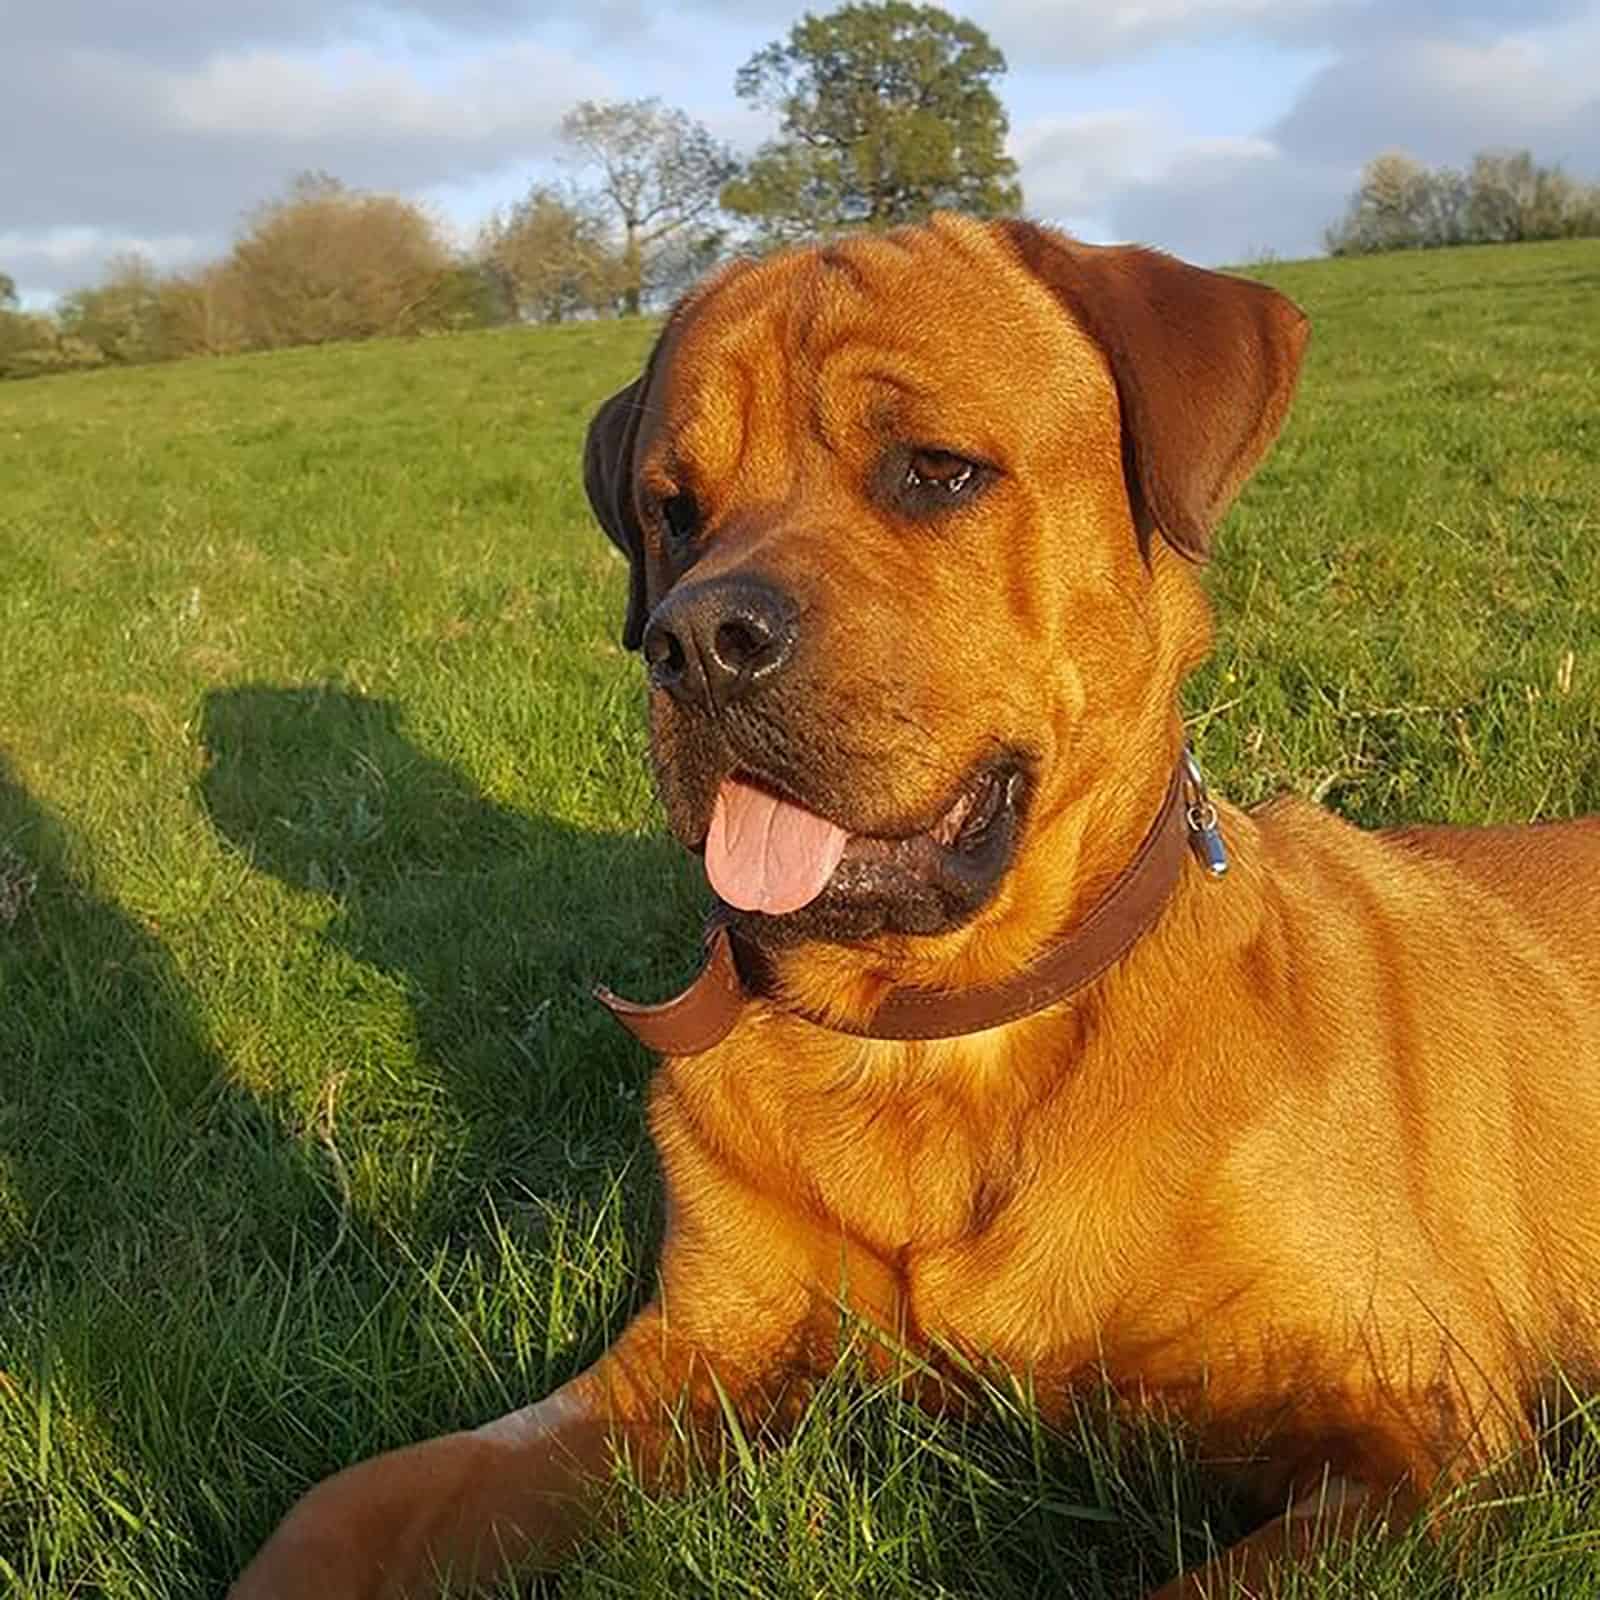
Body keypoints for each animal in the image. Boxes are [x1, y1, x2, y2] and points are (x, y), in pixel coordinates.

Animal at [232, 216, 1600, 1600]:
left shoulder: (1422, 1436)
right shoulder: (696, 1350)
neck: (932, 1035)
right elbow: (366, 1497)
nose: (695, 641)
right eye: (671, 511)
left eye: (935, 471)